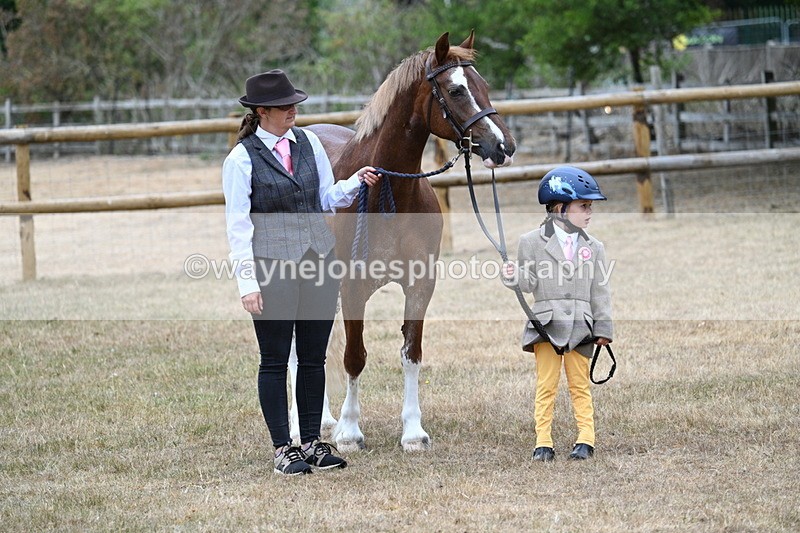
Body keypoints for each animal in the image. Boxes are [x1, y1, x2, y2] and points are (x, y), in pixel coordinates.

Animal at [306, 31, 516, 452]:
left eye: (484, 86)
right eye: (455, 90)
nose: (503, 146)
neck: (389, 193)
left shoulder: (421, 285)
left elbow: (411, 354)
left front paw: (413, 432)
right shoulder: (353, 287)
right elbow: (354, 357)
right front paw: (350, 433)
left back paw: (323, 420)